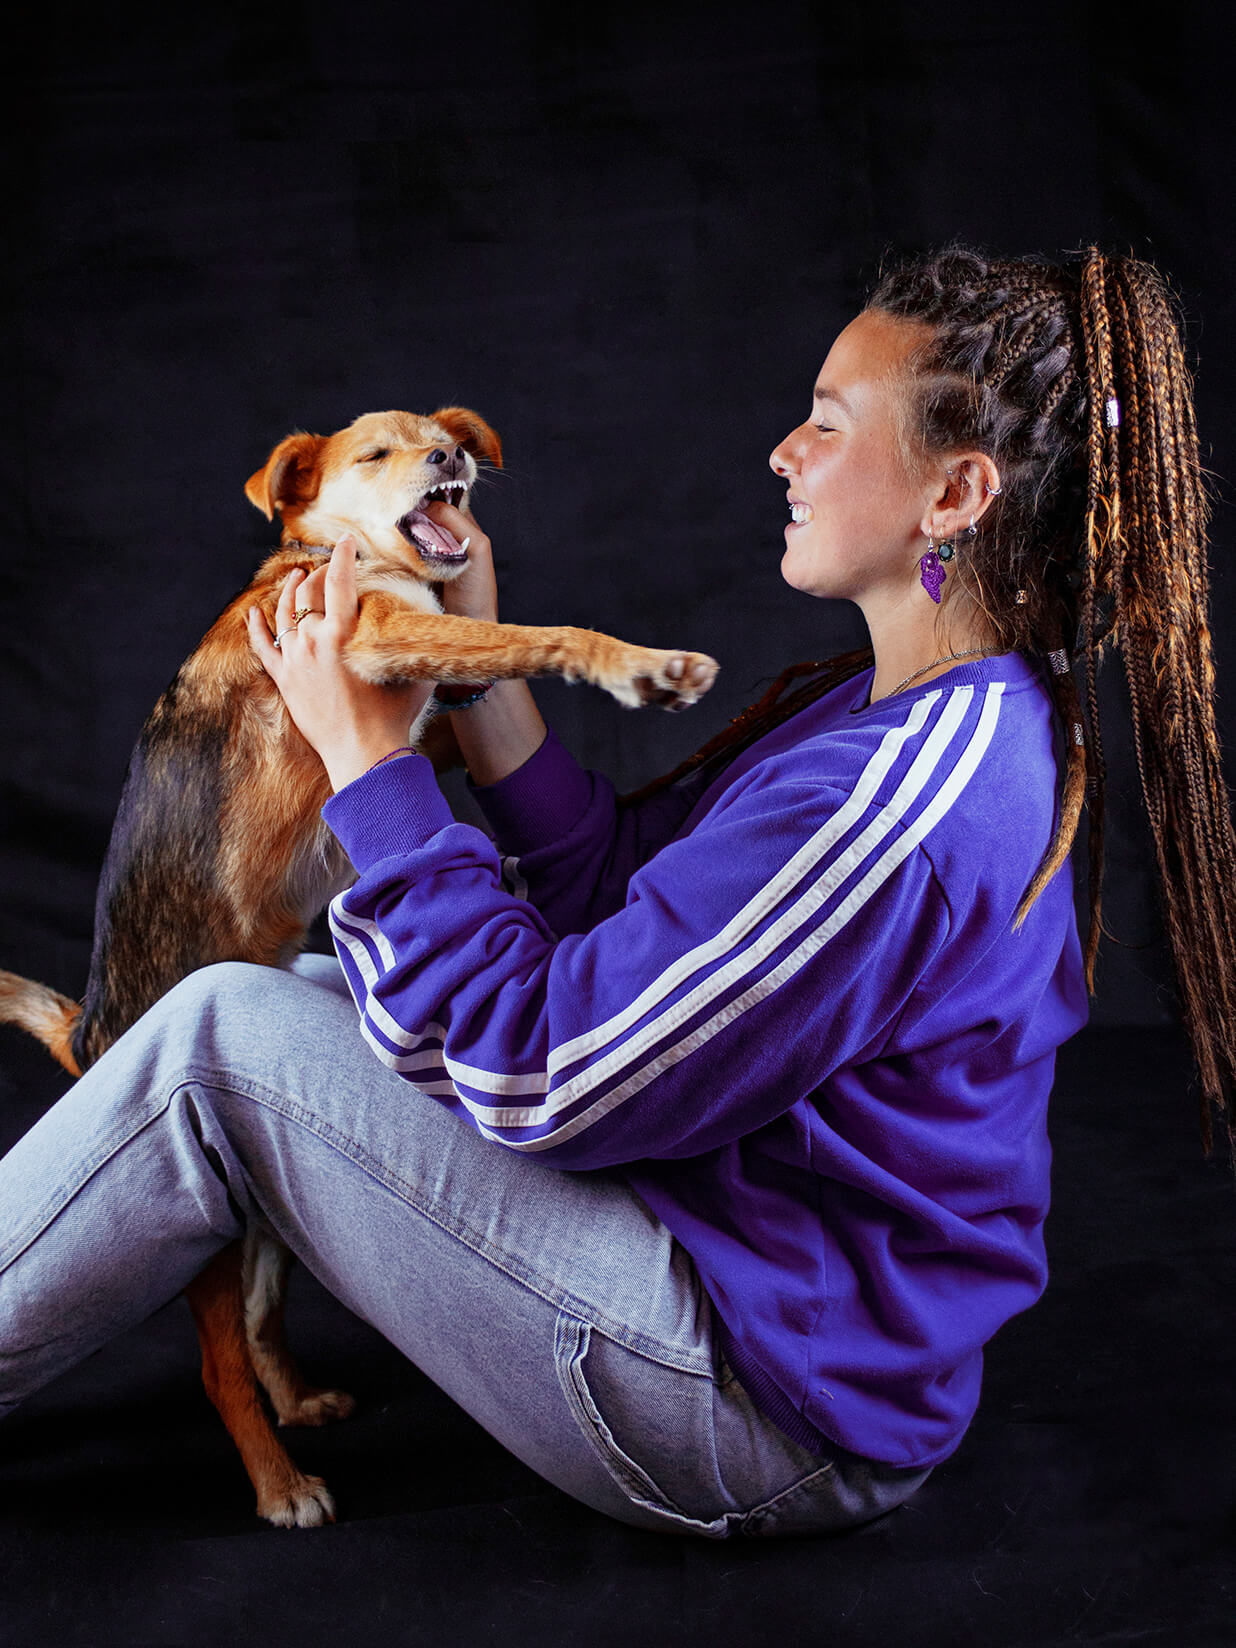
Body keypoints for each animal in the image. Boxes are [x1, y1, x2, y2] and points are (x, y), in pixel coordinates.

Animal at [0, 405, 721, 1522]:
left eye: (439, 433)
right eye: (378, 453)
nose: (450, 457)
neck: (339, 556)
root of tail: (93, 1030)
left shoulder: (419, 707)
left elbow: (470, 705)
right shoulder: (377, 640)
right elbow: (527, 638)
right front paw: (639, 666)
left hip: (257, 1219)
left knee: (261, 1323)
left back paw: (298, 1403)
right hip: (208, 1244)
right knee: (219, 1363)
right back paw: (280, 1483)